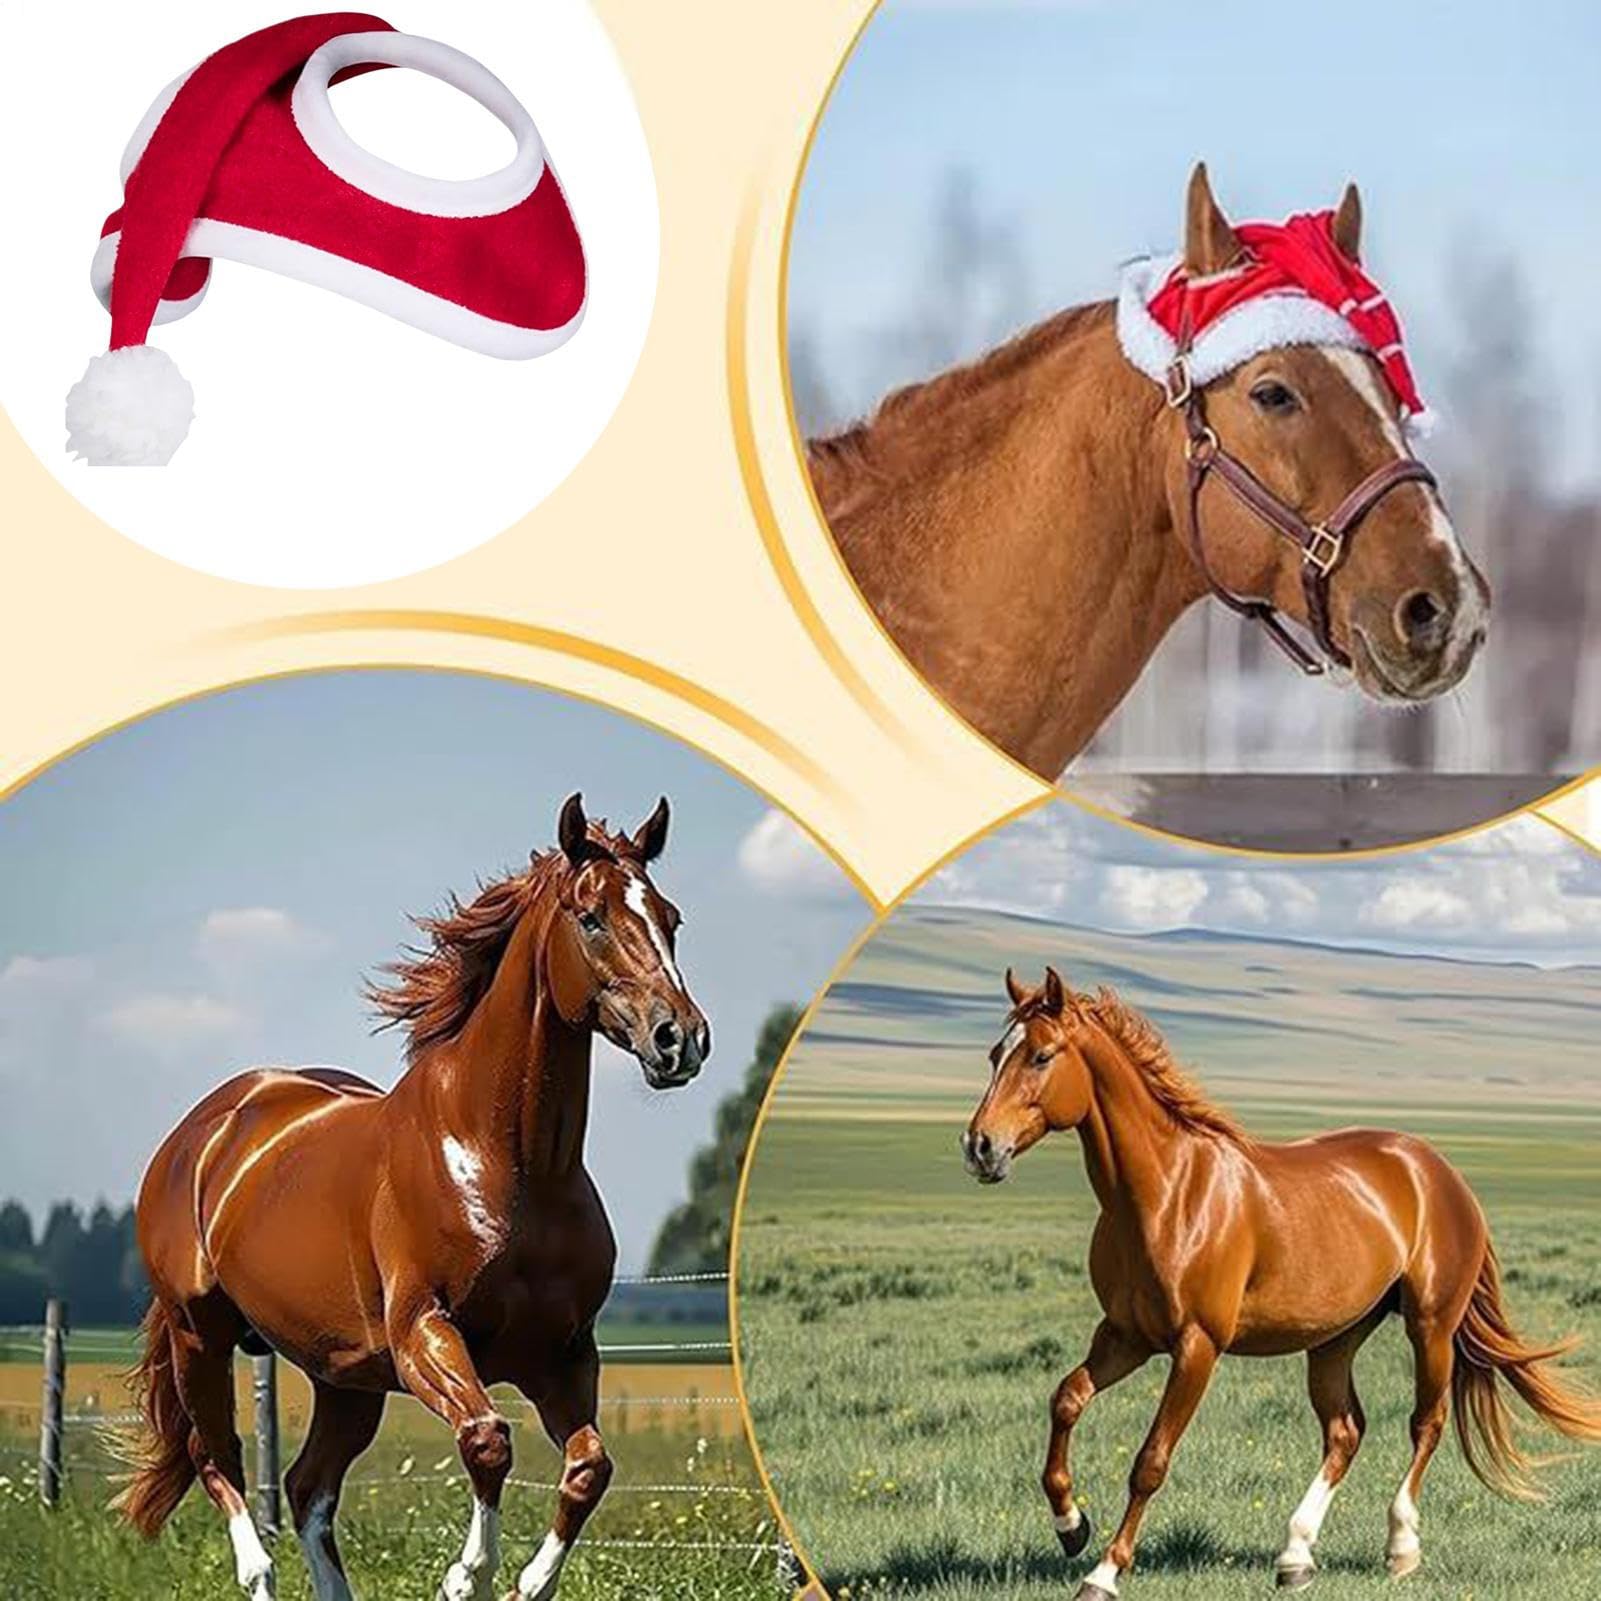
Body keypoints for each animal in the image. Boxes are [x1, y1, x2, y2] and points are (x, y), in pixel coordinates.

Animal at [115, 793, 711, 1601]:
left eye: (670, 918)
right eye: (591, 917)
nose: (679, 1039)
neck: (509, 1163)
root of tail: (201, 1131)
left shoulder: (562, 1355)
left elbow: (589, 1466)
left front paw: (528, 1582)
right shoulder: (424, 1333)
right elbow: (487, 1440)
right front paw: (468, 1576)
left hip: (343, 1376)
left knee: (307, 1487)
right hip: (198, 1335)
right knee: (221, 1462)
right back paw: (259, 1571)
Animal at [960, 967, 1600, 1597]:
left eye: (1041, 1056)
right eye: (995, 1054)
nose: (979, 1147)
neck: (1166, 1195)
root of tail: (1437, 1169)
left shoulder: (1196, 1347)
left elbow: (1150, 1461)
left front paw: (1104, 1572)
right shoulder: (1125, 1336)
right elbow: (1066, 1400)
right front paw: (1071, 1525)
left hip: (1430, 1325)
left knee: (1426, 1423)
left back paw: (1401, 1546)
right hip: (1336, 1337)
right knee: (1344, 1432)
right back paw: (1295, 1556)